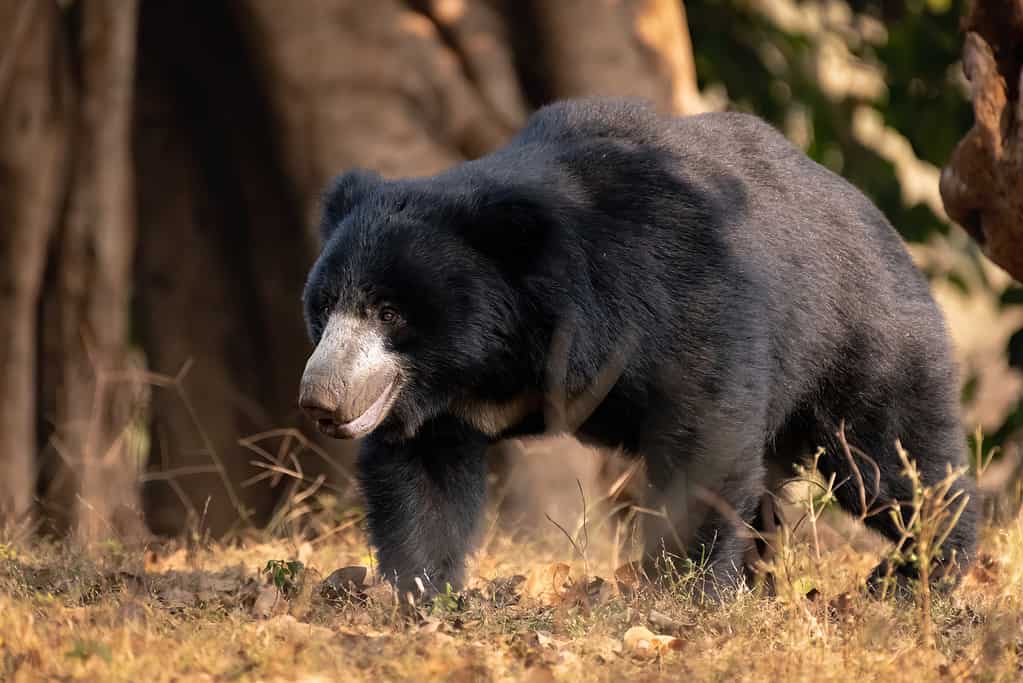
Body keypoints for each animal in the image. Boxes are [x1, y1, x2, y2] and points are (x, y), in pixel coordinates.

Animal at [298, 97, 977, 601]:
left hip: (859, 343)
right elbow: (422, 477)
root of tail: (877, 219)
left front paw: (681, 591)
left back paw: (916, 572)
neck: (497, 359)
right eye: (324, 308)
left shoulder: (674, 290)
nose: (321, 399)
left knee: (890, 460)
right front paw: (418, 593)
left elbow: (702, 434)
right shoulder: (433, 400)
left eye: (390, 312)